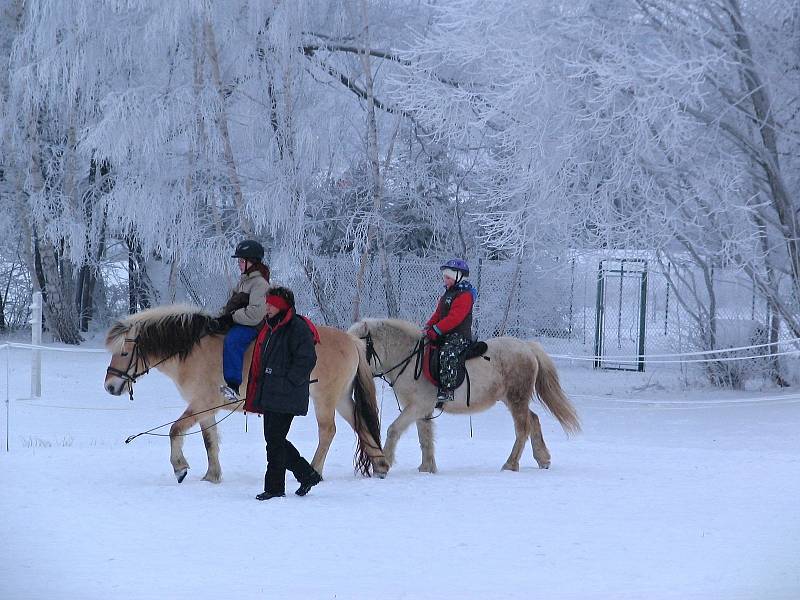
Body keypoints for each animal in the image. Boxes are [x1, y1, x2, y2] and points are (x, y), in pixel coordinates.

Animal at [104, 304, 390, 482]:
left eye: (124, 353)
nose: (109, 386)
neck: (193, 350)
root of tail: (350, 341)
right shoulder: (204, 408)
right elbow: (209, 441)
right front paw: (212, 476)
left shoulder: (201, 403)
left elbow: (175, 430)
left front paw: (180, 468)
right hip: (341, 398)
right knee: (361, 425)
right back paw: (380, 466)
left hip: (325, 399)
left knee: (328, 432)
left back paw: (316, 471)